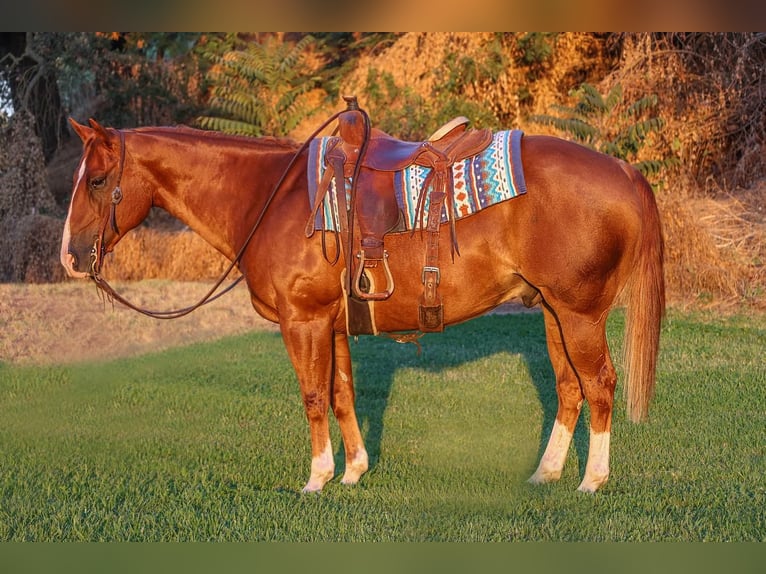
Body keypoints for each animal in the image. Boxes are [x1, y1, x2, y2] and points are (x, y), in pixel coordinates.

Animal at [61, 118, 664, 496]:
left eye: (98, 180)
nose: (69, 256)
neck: (270, 198)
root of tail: (622, 170)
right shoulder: (331, 324)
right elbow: (342, 393)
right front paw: (353, 471)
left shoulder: (303, 321)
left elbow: (311, 396)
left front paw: (316, 478)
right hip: (553, 313)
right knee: (569, 388)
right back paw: (547, 475)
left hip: (580, 314)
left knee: (600, 385)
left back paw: (591, 481)